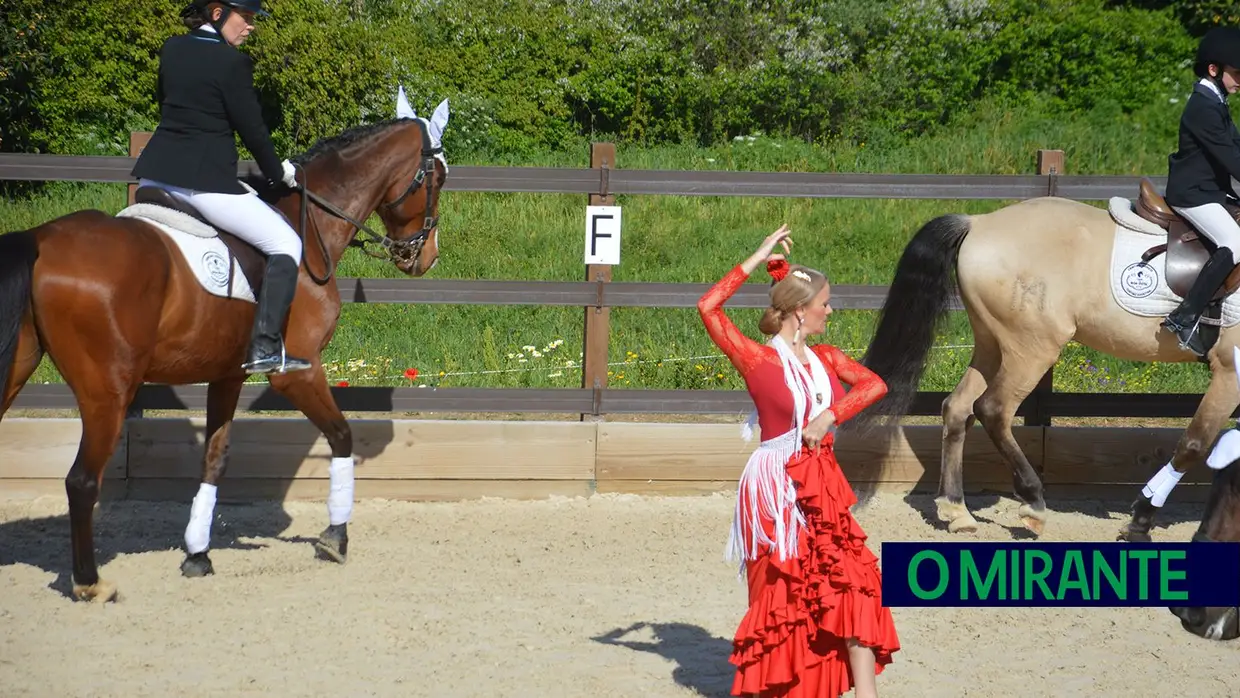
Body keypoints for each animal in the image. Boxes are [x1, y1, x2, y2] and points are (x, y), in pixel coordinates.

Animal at [0, 88, 451, 600]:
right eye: (438, 176)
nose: (426, 256)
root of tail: (39, 238)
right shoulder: (298, 371)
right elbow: (341, 435)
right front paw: (335, 536)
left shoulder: (227, 376)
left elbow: (214, 459)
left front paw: (197, 553)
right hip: (107, 392)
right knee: (81, 481)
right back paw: (90, 583)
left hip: (19, 369)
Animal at [848, 179, 1240, 540]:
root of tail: (978, 222)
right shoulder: (1229, 372)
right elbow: (1194, 445)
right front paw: (1140, 521)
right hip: (1033, 347)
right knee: (993, 409)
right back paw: (1033, 503)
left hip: (991, 345)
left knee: (958, 408)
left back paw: (957, 510)